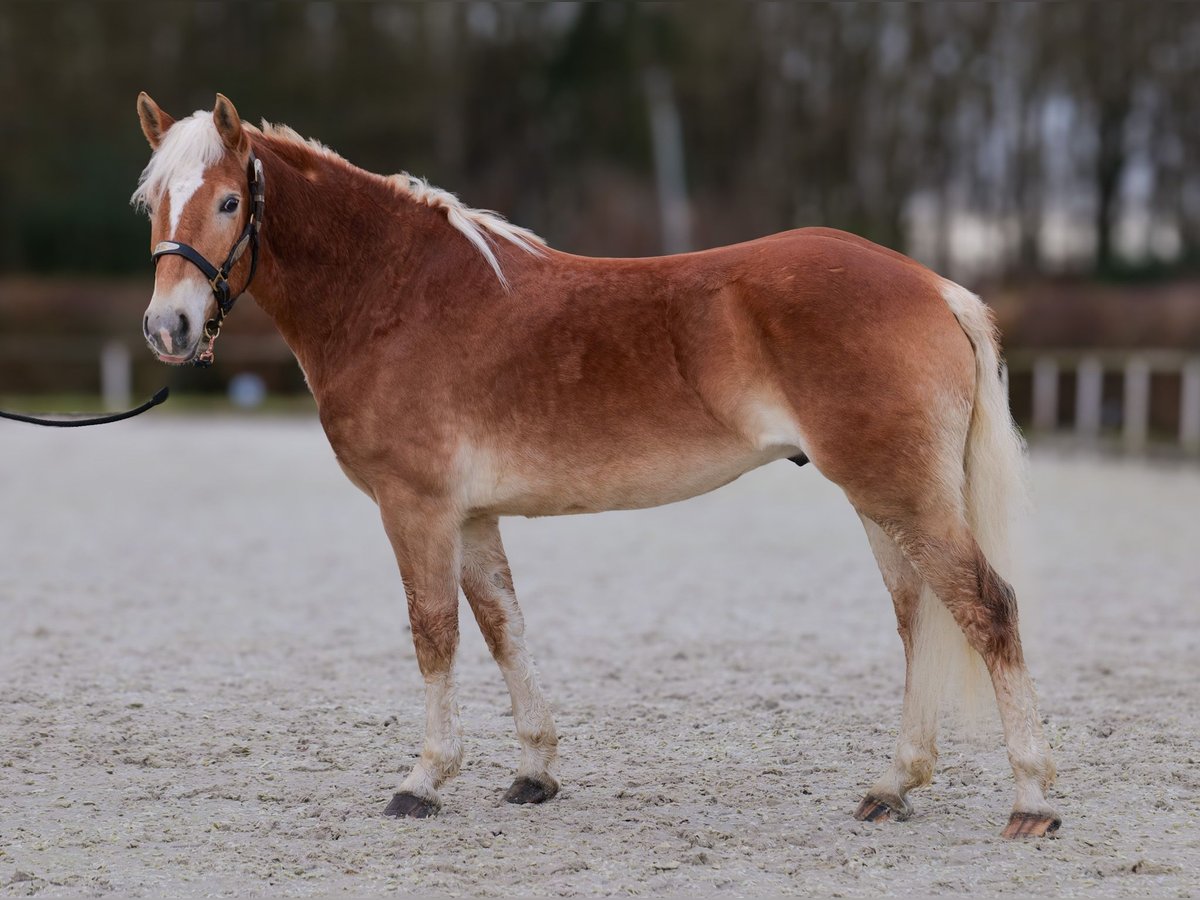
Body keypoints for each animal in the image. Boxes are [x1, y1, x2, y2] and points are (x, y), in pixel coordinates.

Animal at [131, 93, 1060, 840]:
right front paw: (534, 771)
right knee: (920, 621)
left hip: (899, 494)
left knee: (988, 609)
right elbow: (504, 628)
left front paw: (424, 780)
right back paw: (893, 787)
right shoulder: (472, 516)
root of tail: (935, 289)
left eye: (227, 200)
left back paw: (1031, 801)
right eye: (152, 203)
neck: (396, 295)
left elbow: (435, 635)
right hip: (881, 500)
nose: (169, 327)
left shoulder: (415, 508)